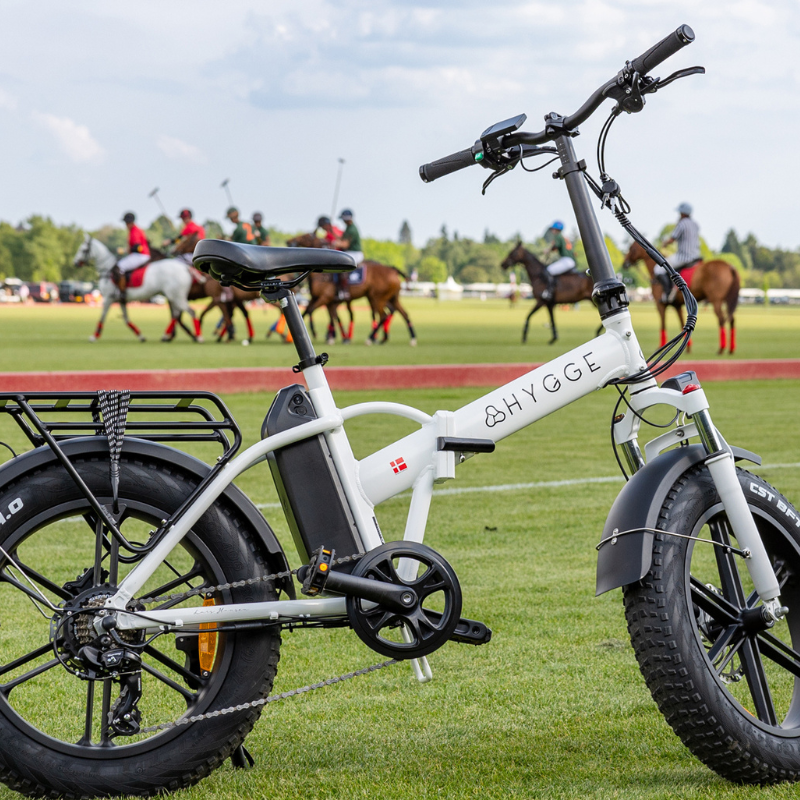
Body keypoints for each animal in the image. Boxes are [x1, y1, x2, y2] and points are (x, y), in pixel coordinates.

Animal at [72, 234, 203, 340]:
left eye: (83, 250)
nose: (75, 263)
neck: (108, 270)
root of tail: (184, 267)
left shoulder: (108, 298)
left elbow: (102, 316)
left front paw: (94, 336)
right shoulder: (121, 299)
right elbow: (126, 319)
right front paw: (140, 336)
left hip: (176, 296)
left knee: (190, 311)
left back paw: (198, 336)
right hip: (173, 296)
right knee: (177, 314)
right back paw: (168, 335)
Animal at [286, 231, 416, 346]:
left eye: (306, 236)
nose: (289, 241)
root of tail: (393, 270)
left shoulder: (325, 298)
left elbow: (312, 311)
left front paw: (317, 334)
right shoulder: (323, 300)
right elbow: (319, 313)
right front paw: (336, 338)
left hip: (377, 298)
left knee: (383, 315)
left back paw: (371, 338)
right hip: (390, 298)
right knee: (403, 314)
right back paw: (411, 339)